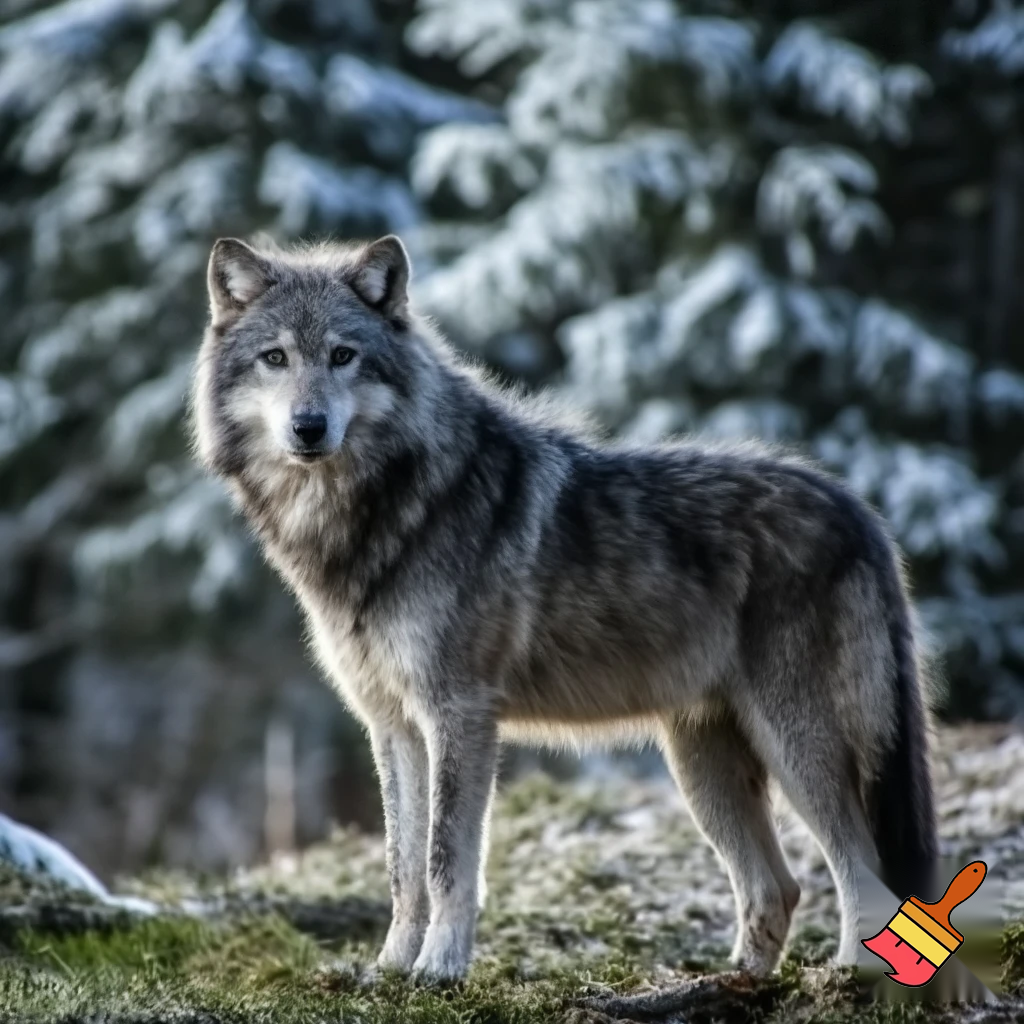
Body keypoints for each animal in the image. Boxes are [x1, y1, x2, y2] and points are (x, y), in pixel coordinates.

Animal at [190, 233, 937, 983]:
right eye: (276, 358)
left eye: (343, 355)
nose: (308, 427)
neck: (382, 513)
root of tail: (857, 509)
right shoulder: (392, 724)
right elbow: (401, 865)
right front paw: (392, 968)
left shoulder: (459, 714)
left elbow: (445, 860)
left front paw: (440, 969)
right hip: (702, 765)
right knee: (776, 887)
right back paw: (738, 983)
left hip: (794, 743)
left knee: (862, 867)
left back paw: (850, 979)